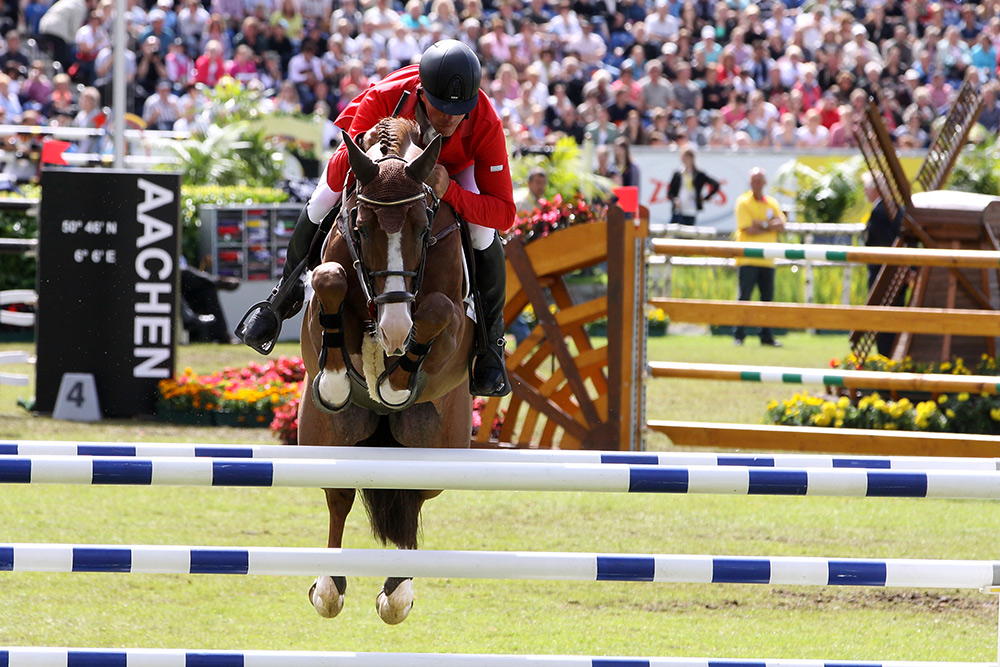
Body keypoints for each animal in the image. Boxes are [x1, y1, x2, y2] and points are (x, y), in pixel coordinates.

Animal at [296, 116, 476, 628]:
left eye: (422, 229)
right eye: (361, 225)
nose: (395, 328)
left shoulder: (454, 334)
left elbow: (436, 310)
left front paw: (395, 380)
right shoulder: (322, 301)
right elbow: (331, 278)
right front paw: (338, 379)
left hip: (437, 445)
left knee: (412, 496)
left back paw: (398, 592)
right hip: (324, 438)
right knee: (338, 496)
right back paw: (328, 586)